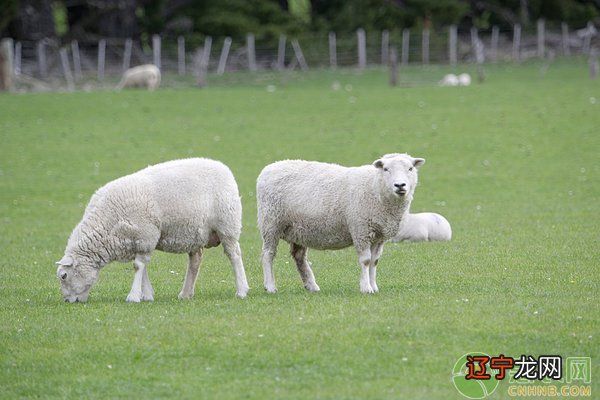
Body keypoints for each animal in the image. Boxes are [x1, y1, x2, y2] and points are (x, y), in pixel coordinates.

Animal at [57, 158, 250, 302]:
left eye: (64, 276)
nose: (67, 301)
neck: (107, 223)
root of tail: (223, 167)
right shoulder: (139, 241)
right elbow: (142, 267)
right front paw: (147, 295)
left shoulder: (145, 236)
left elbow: (138, 266)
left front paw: (134, 296)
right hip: (196, 233)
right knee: (195, 261)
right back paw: (185, 294)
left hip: (227, 225)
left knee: (234, 255)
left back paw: (242, 290)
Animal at [255, 153, 424, 294]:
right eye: (386, 169)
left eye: (410, 168)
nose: (400, 185)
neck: (375, 187)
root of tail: (270, 167)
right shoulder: (360, 229)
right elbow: (366, 260)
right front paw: (366, 288)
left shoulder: (379, 235)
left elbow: (374, 262)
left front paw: (374, 286)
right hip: (271, 223)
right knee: (268, 254)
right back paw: (270, 286)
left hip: (298, 229)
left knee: (299, 257)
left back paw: (311, 285)